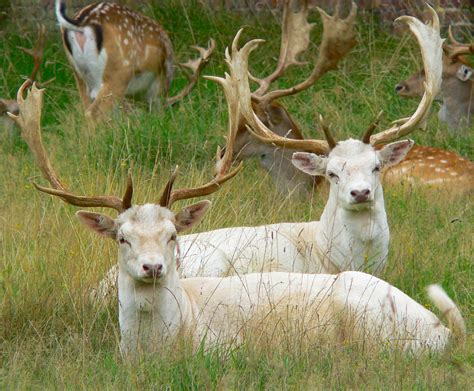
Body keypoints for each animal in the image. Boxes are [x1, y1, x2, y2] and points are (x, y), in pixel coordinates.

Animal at [56, 0, 217, 119]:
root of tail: (81, 22)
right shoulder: (158, 86)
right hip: (118, 72)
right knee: (94, 113)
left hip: (80, 75)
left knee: (87, 109)